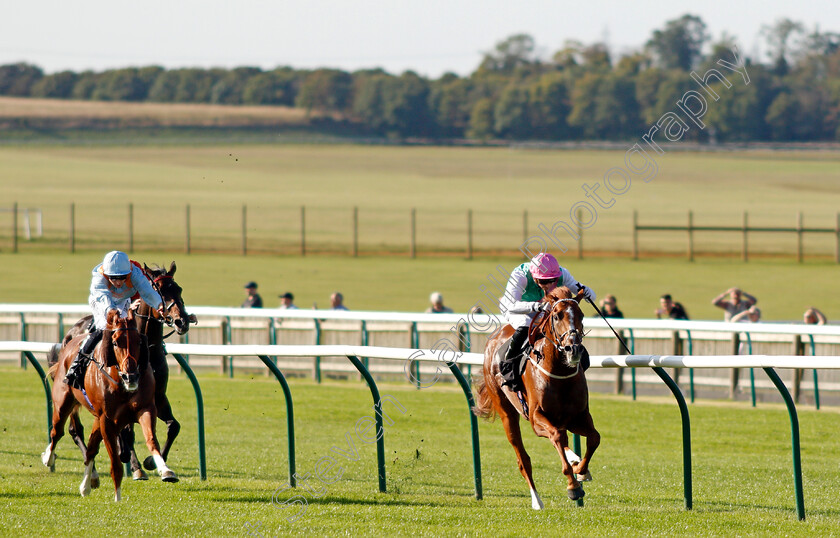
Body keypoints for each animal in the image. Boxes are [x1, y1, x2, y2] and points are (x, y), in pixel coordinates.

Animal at [42, 308, 177, 500]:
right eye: (115, 342)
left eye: (138, 341)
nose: (130, 375)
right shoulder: (107, 420)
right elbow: (116, 460)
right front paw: (118, 497)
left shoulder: (146, 408)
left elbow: (152, 440)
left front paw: (164, 470)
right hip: (63, 404)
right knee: (59, 431)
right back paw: (49, 458)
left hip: (96, 419)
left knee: (90, 449)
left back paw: (87, 484)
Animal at [48, 260, 195, 478]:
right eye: (159, 290)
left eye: (178, 289)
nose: (181, 321)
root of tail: (71, 331)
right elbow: (127, 432)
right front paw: (135, 466)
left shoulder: (158, 397)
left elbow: (173, 426)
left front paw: (151, 461)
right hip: (72, 394)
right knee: (75, 429)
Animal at [472, 284, 596, 506]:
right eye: (557, 315)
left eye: (581, 315)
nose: (573, 349)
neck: (560, 373)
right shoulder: (536, 418)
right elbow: (557, 436)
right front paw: (573, 486)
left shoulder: (578, 416)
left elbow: (594, 438)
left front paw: (581, 470)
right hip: (506, 412)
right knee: (523, 459)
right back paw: (536, 500)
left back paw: (573, 458)